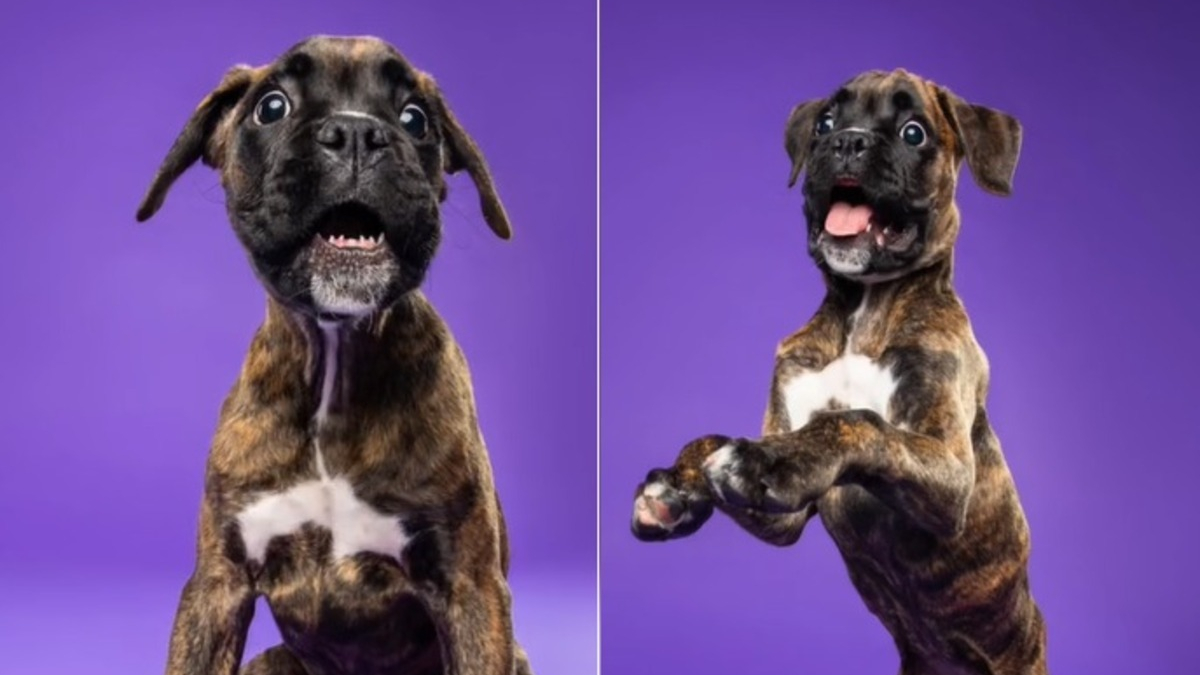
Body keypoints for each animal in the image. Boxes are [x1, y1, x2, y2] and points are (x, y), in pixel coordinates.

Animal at [633, 69, 1046, 672]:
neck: (863, 308)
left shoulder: (950, 474)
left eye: (914, 132)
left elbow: (856, 423)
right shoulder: (782, 517)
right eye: (825, 123)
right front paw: (676, 488)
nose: (847, 141)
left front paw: (773, 459)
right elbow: (708, 438)